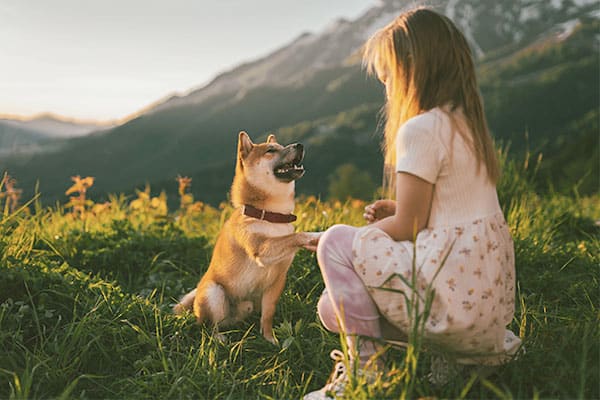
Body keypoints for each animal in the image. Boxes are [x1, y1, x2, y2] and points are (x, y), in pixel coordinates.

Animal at [173, 131, 318, 344]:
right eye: (271, 150)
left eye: (281, 145)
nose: (299, 145)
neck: (270, 216)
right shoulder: (261, 249)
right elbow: (295, 235)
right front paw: (317, 236)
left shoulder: (277, 281)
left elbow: (268, 315)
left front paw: (269, 338)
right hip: (214, 293)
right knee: (208, 326)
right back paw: (219, 338)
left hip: (248, 305)